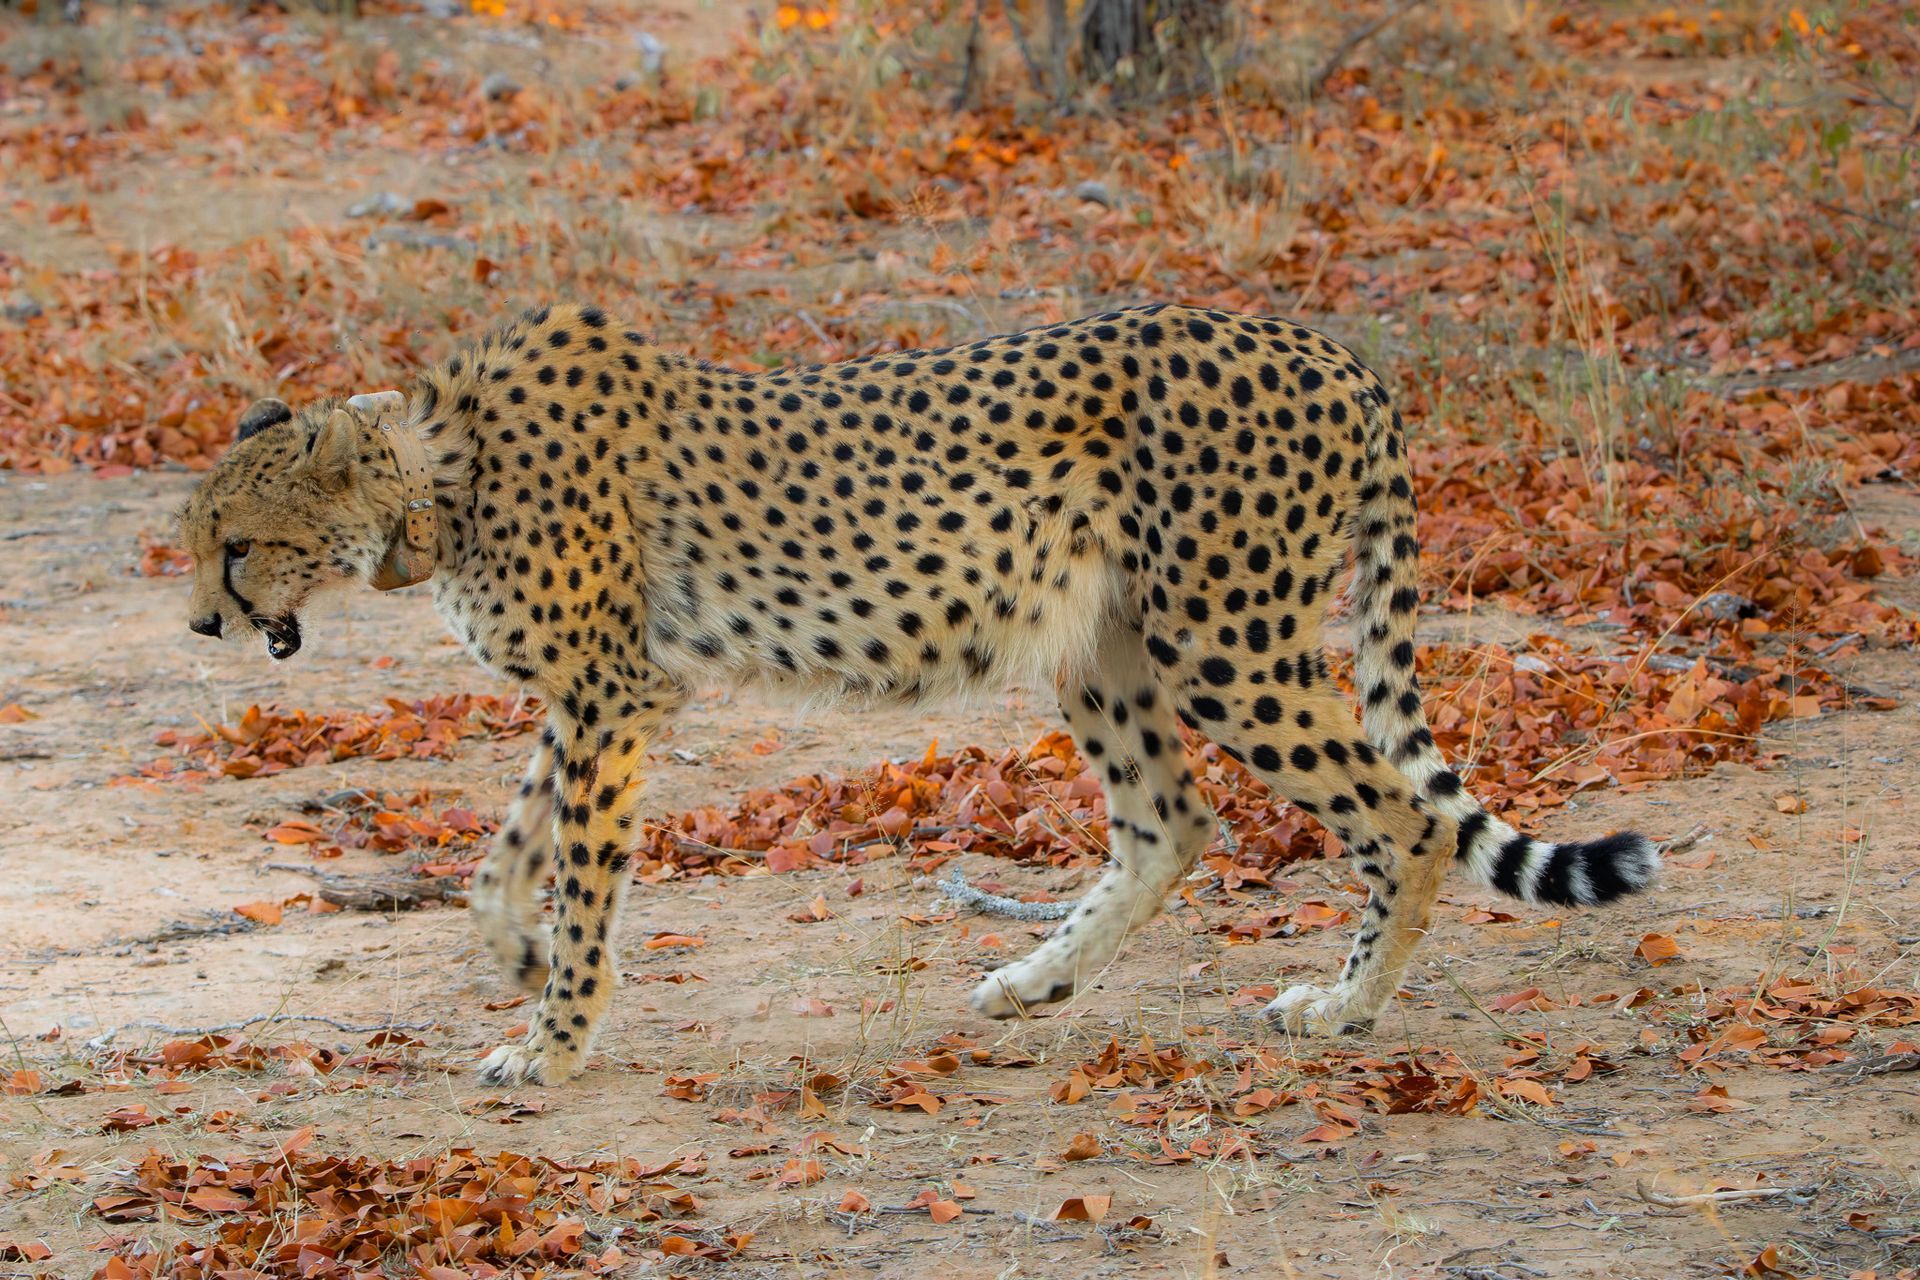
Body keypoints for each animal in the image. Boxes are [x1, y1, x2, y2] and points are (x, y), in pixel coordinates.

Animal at [179, 302, 1660, 1085]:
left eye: (235, 543)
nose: (203, 619)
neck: (437, 477)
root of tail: (1325, 344)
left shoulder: (613, 690)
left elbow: (581, 870)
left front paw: (554, 1036)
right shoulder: (608, 693)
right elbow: (508, 844)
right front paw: (515, 955)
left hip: (1224, 640)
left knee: (1400, 821)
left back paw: (1346, 1007)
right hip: (1099, 641)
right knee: (1172, 820)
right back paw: (1036, 977)